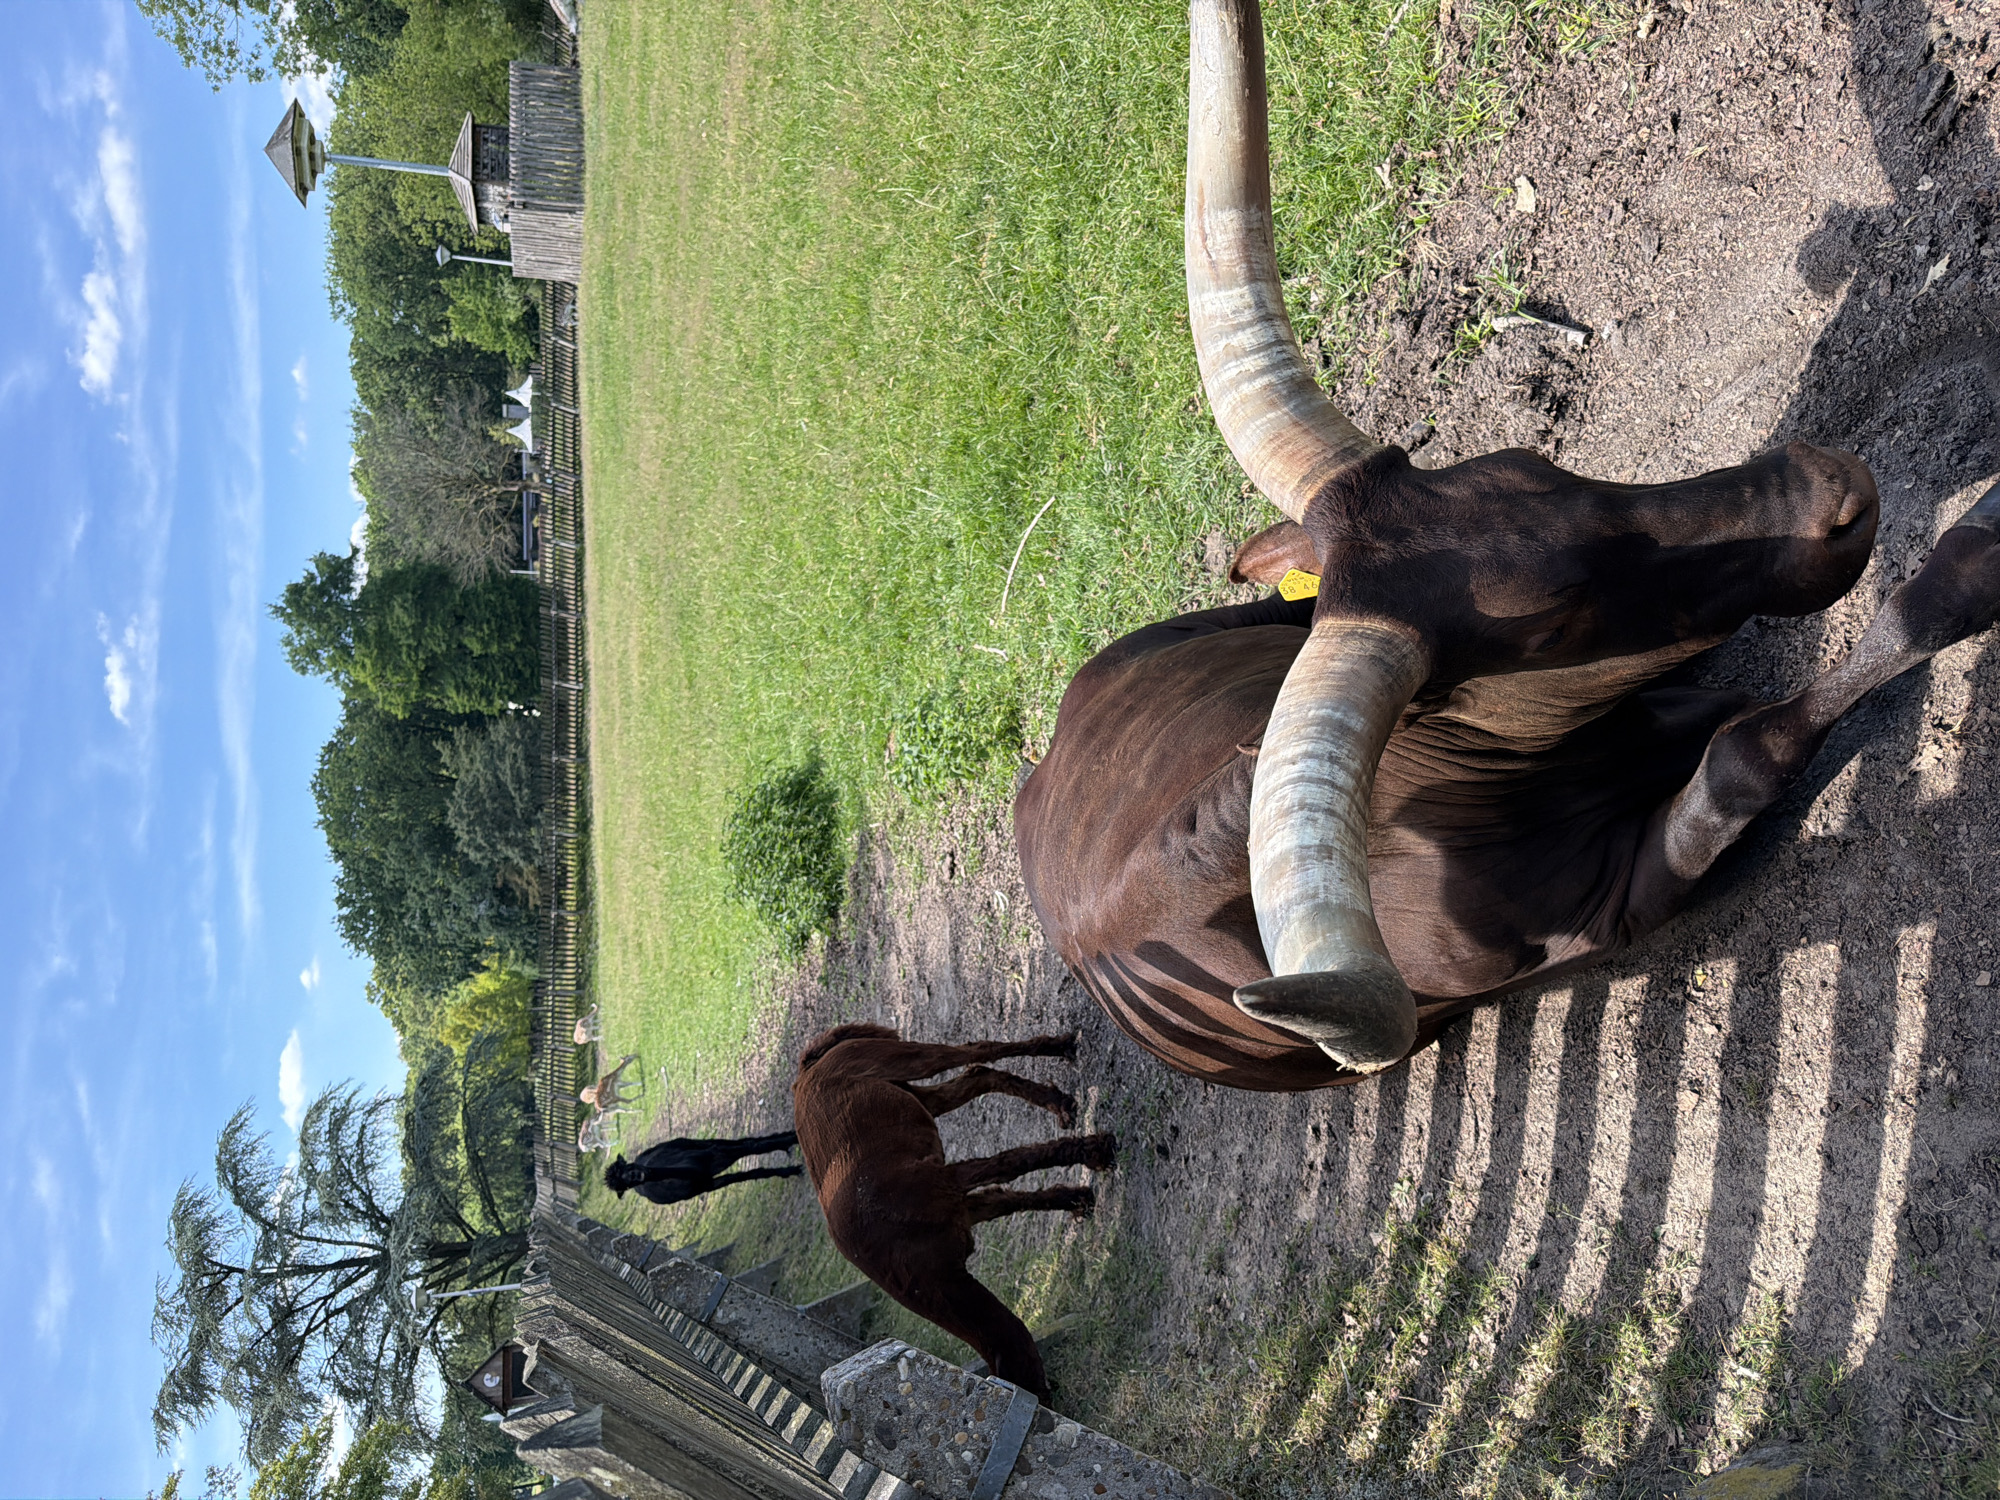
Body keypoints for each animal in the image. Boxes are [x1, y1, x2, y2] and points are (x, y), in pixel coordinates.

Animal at [792, 1024, 1116, 1398]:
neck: (915, 1263)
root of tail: (806, 1069)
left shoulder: (942, 1184)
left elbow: (1010, 1164)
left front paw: (1096, 1151)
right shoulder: (961, 1211)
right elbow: (1010, 1196)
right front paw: (1076, 1198)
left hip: (898, 1060)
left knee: (975, 1051)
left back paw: (1060, 1048)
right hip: (912, 1097)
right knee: (978, 1076)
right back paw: (1057, 1100)